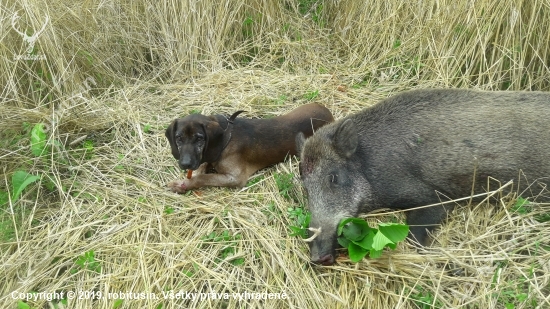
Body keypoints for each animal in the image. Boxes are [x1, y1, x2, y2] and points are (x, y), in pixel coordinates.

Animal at [166, 102, 334, 191]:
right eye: (178, 138)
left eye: (200, 138)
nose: (185, 164)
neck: (226, 136)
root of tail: (327, 111)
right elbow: (201, 168)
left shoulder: (235, 178)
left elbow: (203, 177)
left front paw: (185, 183)